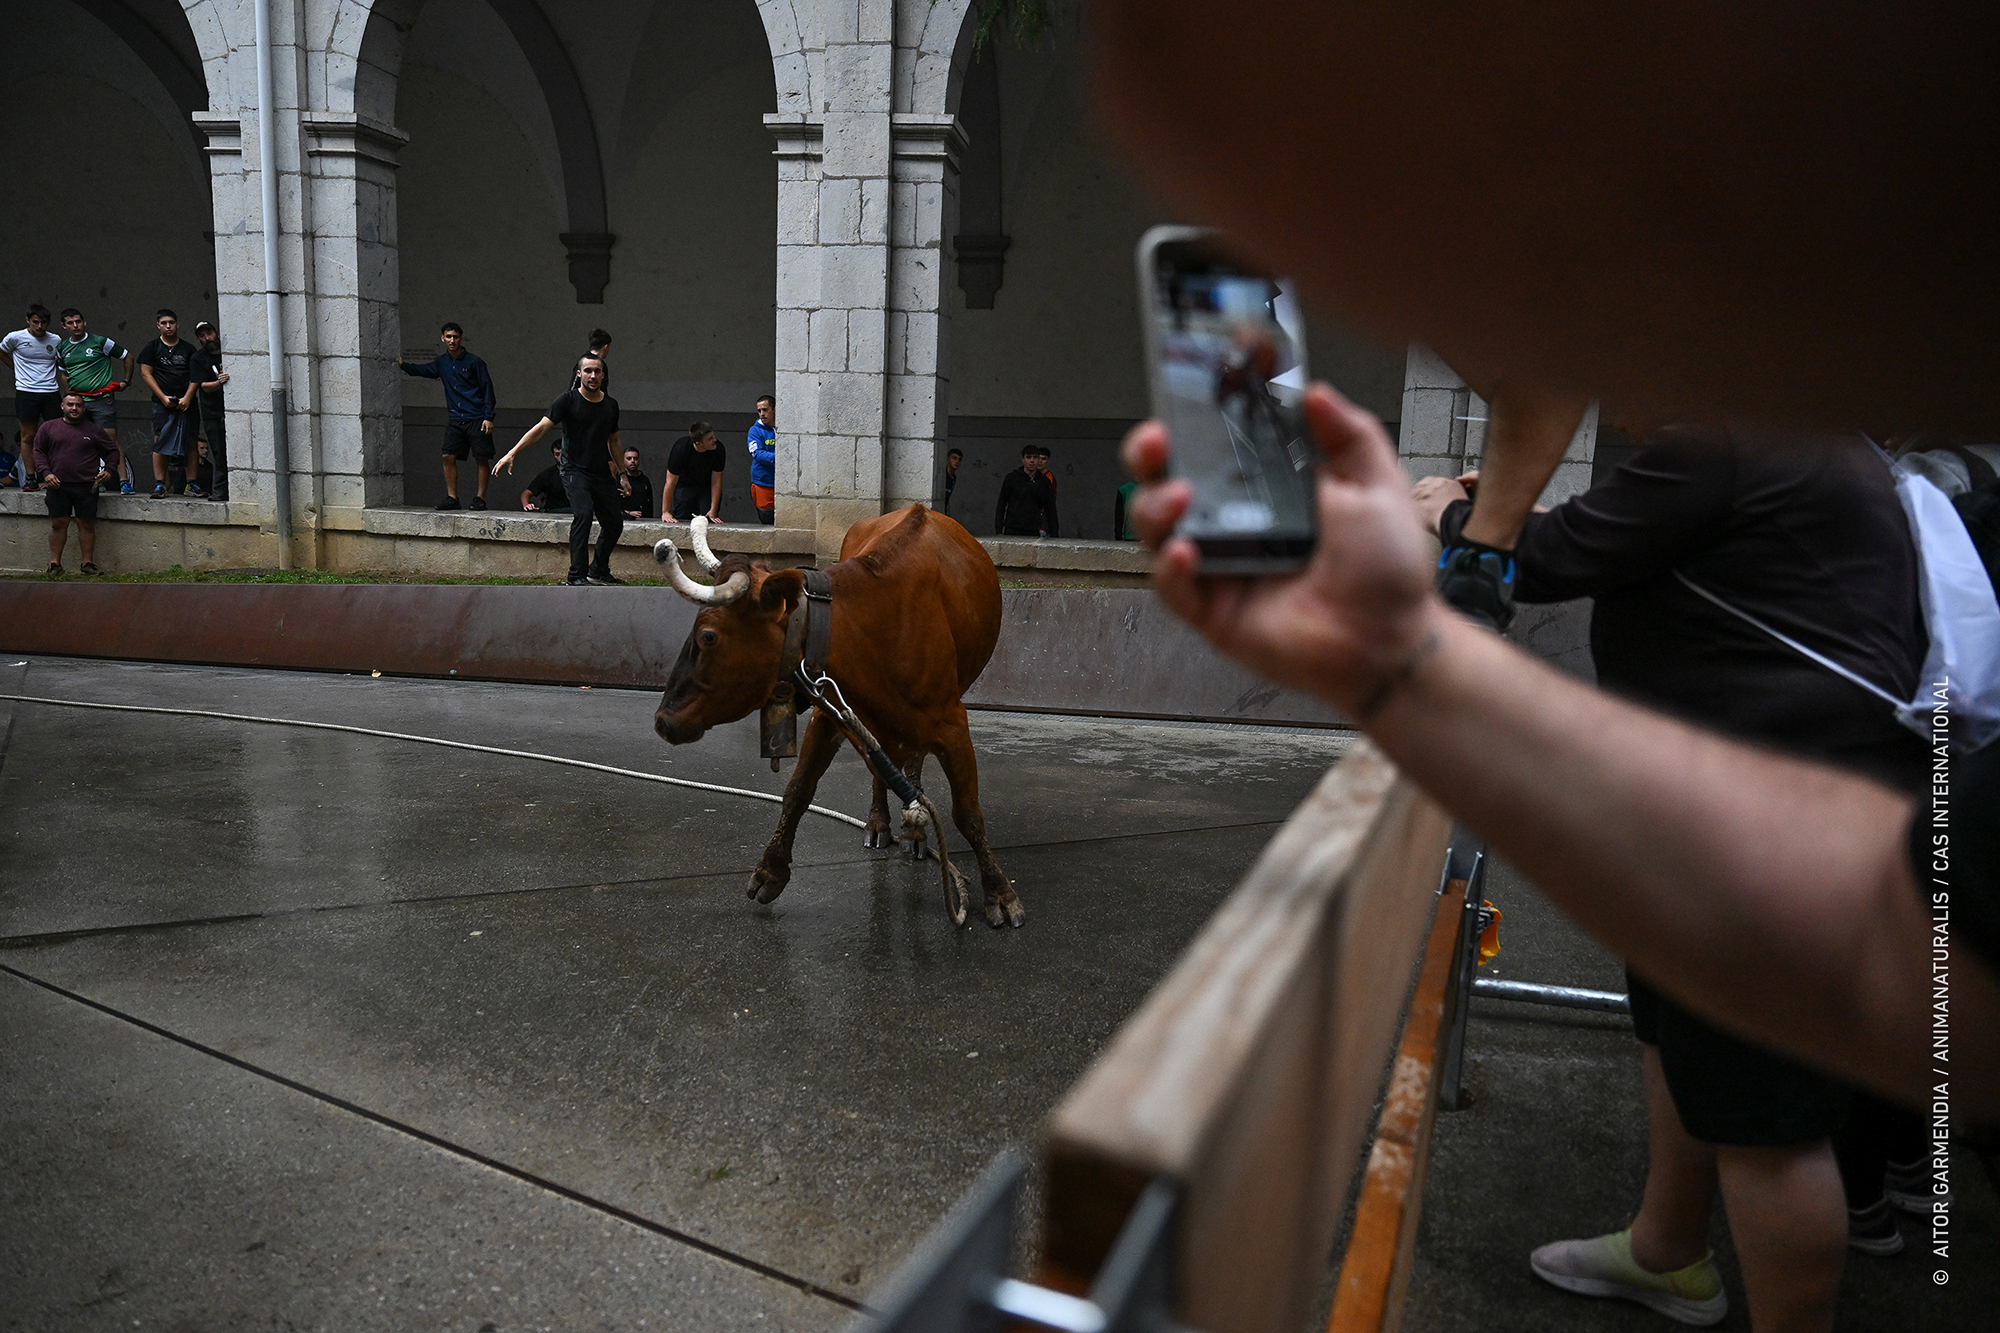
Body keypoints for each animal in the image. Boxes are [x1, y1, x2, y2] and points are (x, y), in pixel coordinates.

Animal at [651, 505, 1025, 927]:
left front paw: (999, 891)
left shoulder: (953, 725)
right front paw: (770, 870)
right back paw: (880, 822)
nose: (662, 720)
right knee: (883, 769)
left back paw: (915, 829)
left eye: (708, 635)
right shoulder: (829, 711)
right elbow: (798, 789)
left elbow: (968, 814)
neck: (876, 628)